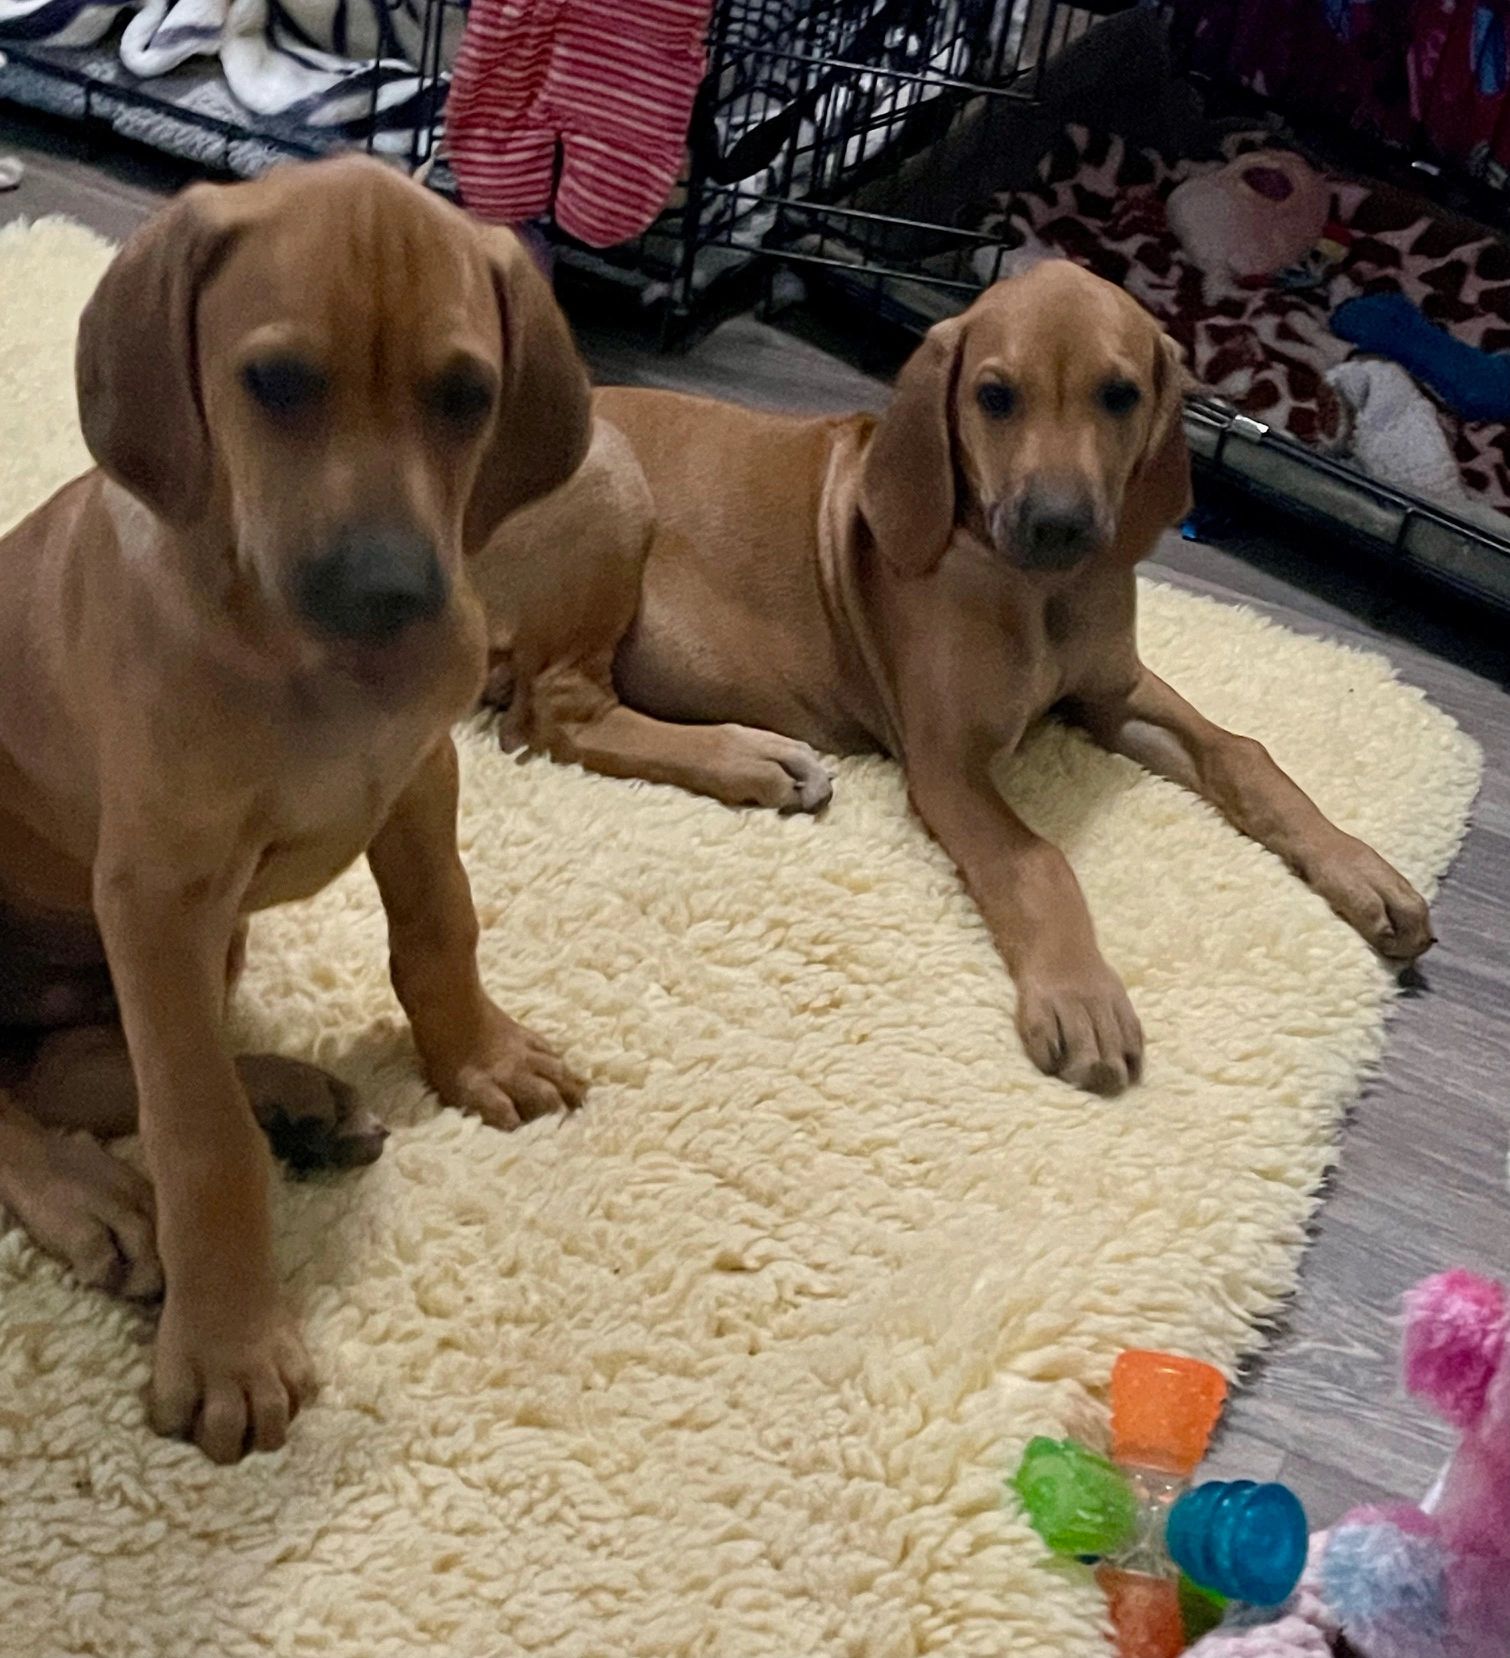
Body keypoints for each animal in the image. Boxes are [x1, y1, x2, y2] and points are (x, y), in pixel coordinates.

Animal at [0, 152, 590, 1452]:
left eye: (465, 395)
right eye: (274, 381)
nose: (389, 592)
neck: (303, 659)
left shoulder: (419, 774)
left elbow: (441, 924)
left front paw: (478, 1052)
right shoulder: (157, 892)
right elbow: (195, 1127)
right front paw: (229, 1347)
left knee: (61, 1064)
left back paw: (291, 1094)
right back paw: (95, 1198)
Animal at [477, 265, 1432, 1094]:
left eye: (1120, 395)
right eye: (994, 397)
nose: (1057, 527)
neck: (1040, 595)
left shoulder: (1113, 694)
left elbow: (1246, 753)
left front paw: (1360, 869)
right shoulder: (946, 763)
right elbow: (1037, 860)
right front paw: (1081, 997)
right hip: (608, 482)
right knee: (558, 714)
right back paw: (757, 762)